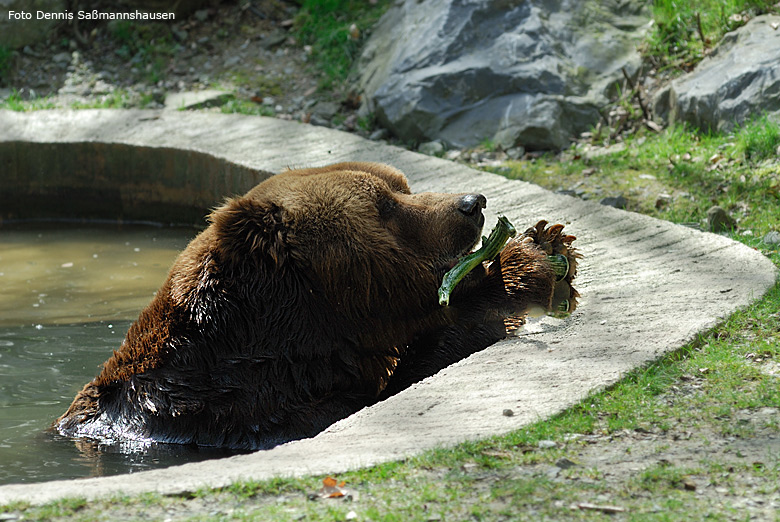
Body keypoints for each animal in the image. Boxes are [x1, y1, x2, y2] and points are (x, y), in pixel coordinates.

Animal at [54, 161, 576, 446]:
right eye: (384, 206)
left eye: (402, 186)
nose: (472, 203)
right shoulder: (248, 412)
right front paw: (523, 263)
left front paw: (551, 239)